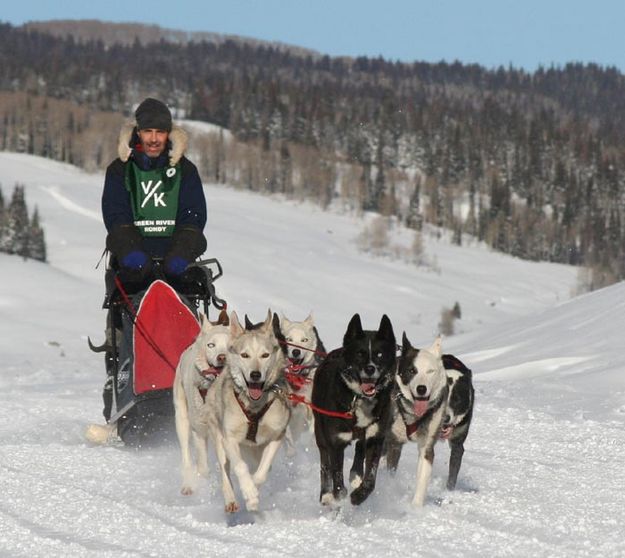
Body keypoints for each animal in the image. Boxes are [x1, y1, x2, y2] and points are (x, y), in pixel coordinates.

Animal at [310, 316, 394, 508]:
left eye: (379, 354)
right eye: (360, 354)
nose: (370, 369)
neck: (359, 398)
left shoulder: (375, 437)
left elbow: (370, 478)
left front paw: (359, 495)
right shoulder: (336, 442)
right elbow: (336, 474)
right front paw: (338, 495)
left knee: (359, 448)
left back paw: (356, 476)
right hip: (320, 433)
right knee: (325, 463)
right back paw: (326, 495)